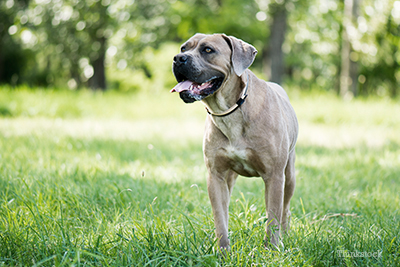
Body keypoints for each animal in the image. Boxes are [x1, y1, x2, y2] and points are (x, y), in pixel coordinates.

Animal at [170, 34, 298, 251]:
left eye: (208, 50)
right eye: (183, 48)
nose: (178, 58)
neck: (230, 111)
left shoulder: (274, 176)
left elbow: (273, 216)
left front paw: (271, 249)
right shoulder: (216, 176)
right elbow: (220, 216)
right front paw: (222, 250)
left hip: (288, 175)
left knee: (285, 210)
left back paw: (285, 236)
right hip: (230, 178)